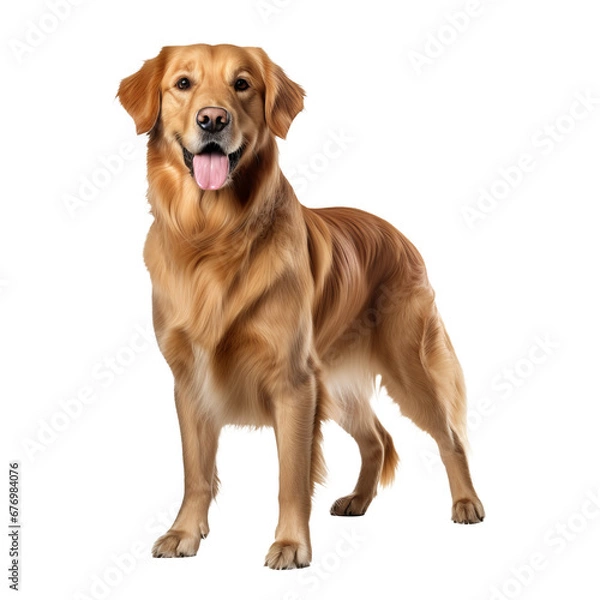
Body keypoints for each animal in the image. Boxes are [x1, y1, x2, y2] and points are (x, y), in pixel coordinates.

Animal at [118, 44, 488, 568]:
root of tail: (400, 235)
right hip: (336, 384)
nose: (213, 119)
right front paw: (184, 533)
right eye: (183, 84)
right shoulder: (190, 381)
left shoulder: (293, 383)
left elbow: (291, 476)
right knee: (378, 438)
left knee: (450, 436)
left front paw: (290, 545)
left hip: (406, 366)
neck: (213, 238)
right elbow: (196, 472)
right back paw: (358, 499)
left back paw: (467, 503)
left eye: (242, 84)